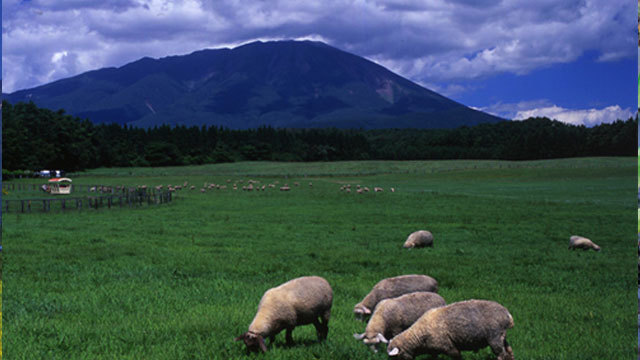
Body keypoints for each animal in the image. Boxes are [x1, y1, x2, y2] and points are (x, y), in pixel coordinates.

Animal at [384, 298, 516, 360]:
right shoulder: (434, 350)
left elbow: (457, 356)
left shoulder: (449, 347)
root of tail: (507, 315)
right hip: (502, 336)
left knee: (501, 355)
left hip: (494, 337)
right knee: (509, 351)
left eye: (395, 358)